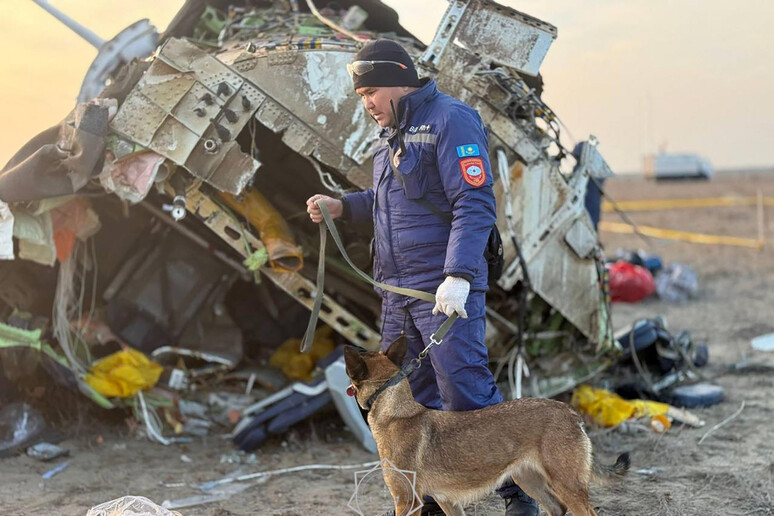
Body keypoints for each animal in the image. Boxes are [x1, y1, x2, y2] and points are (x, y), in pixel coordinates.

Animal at [346, 338, 632, 516]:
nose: (347, 345)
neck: (395, 410)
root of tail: (570, 412)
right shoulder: (446, 500)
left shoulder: (406, 500)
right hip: (528, 479)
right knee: (557, 508)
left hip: (566, 484)